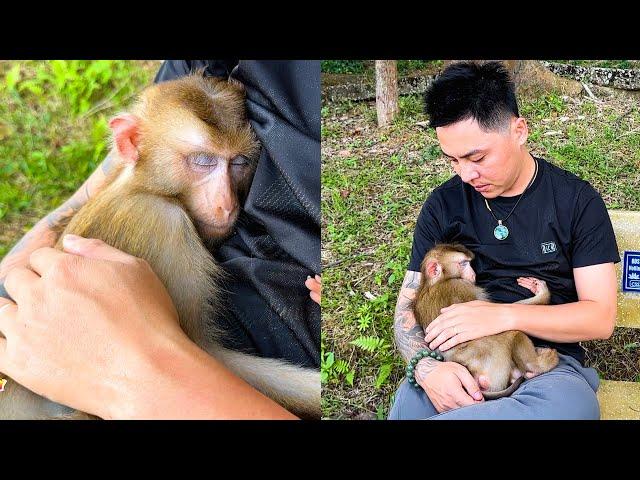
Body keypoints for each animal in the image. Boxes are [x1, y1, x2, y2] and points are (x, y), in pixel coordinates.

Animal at [412, 246, 556, 400]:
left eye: (469, 263)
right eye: (463, 263)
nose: (473, 274)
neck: (434, 283)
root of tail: (471, 370)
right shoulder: (461, 285)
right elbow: (490, 315)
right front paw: (543, 295)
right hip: (496, 362)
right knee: (513, 334)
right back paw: (537, 366)